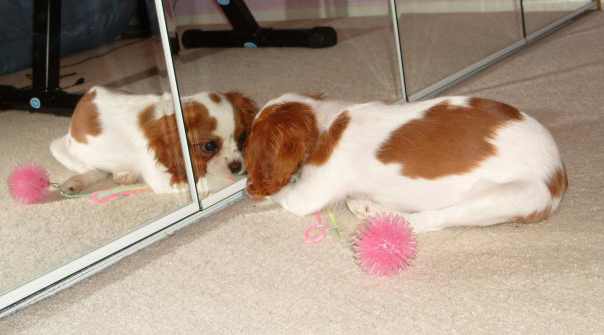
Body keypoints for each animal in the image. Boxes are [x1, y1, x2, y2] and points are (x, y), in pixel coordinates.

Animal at [50, 86, 258, 196]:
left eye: (242, 137)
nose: (236, 166)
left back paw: (125, 174)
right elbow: (214, 180)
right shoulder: (163, 178)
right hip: (59, 148)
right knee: (94, 171)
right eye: (209, 146)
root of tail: (86, 97)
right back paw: (74, 182)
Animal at [244, 92, 568, 234]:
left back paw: (371, 211)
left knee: (429, 220)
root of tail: (559, 171)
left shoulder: (308, 193)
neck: (326, 123)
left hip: (503, 198)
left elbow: (282, 194)